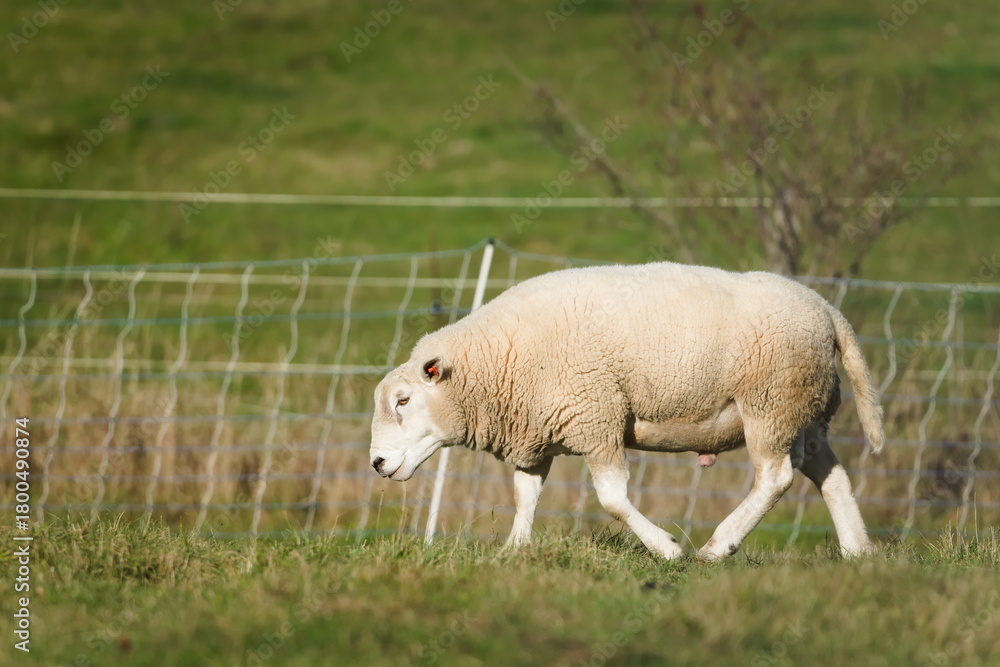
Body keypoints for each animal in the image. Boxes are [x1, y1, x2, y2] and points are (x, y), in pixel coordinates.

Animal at [369, 261, 885, 560]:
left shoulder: (596, 415)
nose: (376, 463)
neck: (499, 359)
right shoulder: (540, 429)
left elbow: (612, 499)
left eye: (403, 401)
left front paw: (667, 549)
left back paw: (717, 547)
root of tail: (825, 310)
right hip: (804, 409)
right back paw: (857, 551)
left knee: (776, 477)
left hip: (769, 401)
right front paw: (513, 553)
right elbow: (525, 496)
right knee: (830, 474)